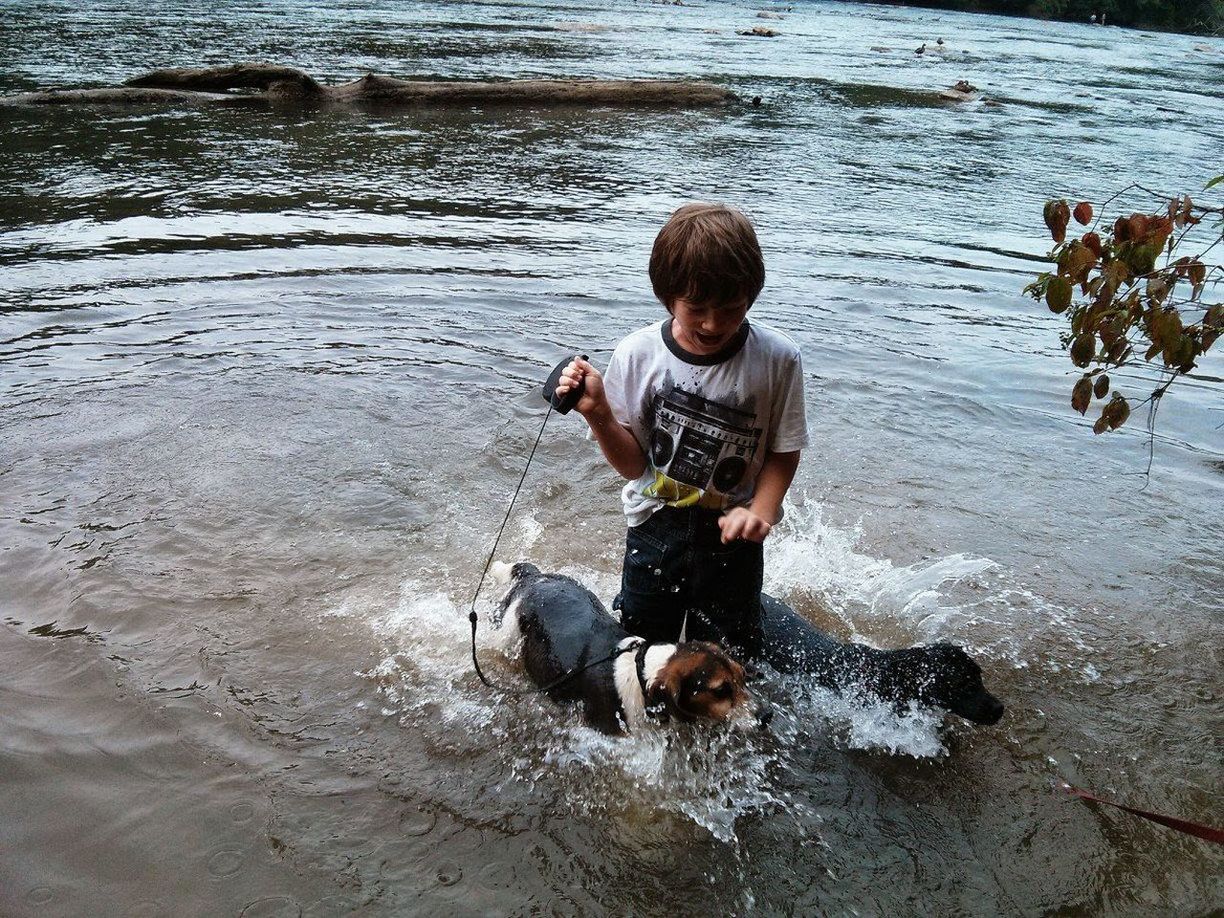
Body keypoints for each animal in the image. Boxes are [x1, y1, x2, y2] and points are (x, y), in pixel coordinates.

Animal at [492, 565, 758, 739]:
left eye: (743, 676)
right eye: (720, 690)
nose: (764, 715)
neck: (641, 674)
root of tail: (533, 577)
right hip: (506, 635)